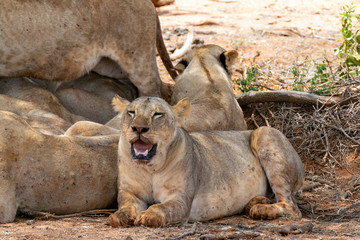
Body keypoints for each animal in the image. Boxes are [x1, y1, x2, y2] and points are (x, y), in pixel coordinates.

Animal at [109, 96, 304, 228]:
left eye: (157, 114)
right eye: (131, 112)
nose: (139, 128)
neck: (150, 168)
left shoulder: (180, 199)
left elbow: (161, 207)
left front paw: (148, 216)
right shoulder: (129, 192)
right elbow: (126, 206)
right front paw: (119, 216)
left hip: (264, 133)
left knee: (292, 208)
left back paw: (262, 210)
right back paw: (255, 202)